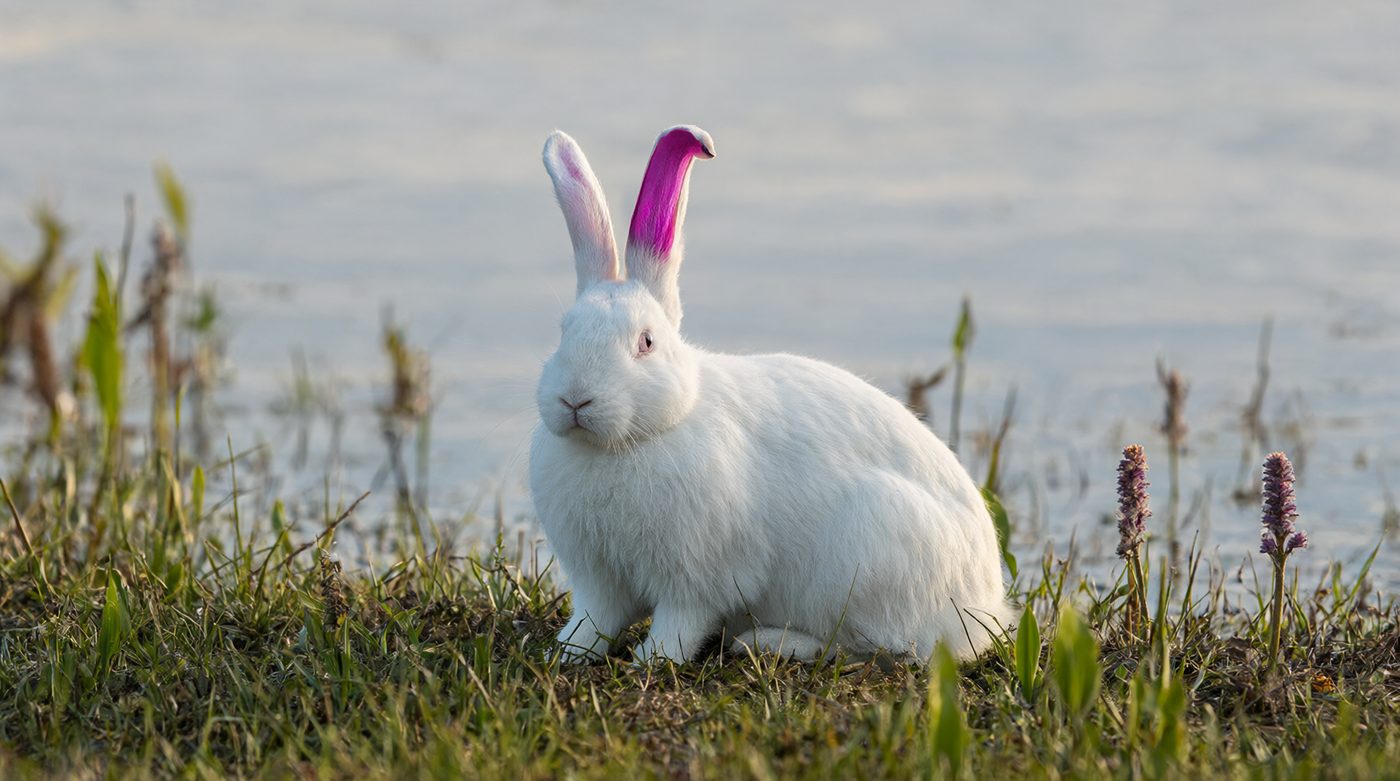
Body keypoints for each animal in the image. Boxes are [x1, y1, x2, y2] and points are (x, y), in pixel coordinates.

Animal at [531, 125, 1015, 665]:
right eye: (564, 331)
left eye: (647, 342)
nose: (576, 401)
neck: (635, 439)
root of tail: (987, 607)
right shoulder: (599, 582)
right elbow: (591, 623)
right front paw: (563, 655)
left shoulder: (698, 580)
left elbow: (680, 625)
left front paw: (652, 662)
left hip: (869, 562)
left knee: (877, 650)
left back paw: (770, 642)